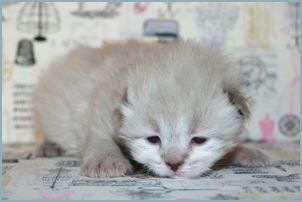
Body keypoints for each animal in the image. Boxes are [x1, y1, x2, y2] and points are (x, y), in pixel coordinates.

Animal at [32, 40, 268, 178]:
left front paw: (244, 152)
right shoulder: (99, 107)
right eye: (153, 139)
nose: (174, 164)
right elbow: (98, 137)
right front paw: (104, 161)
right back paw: (46, 147)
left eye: (199, 140)